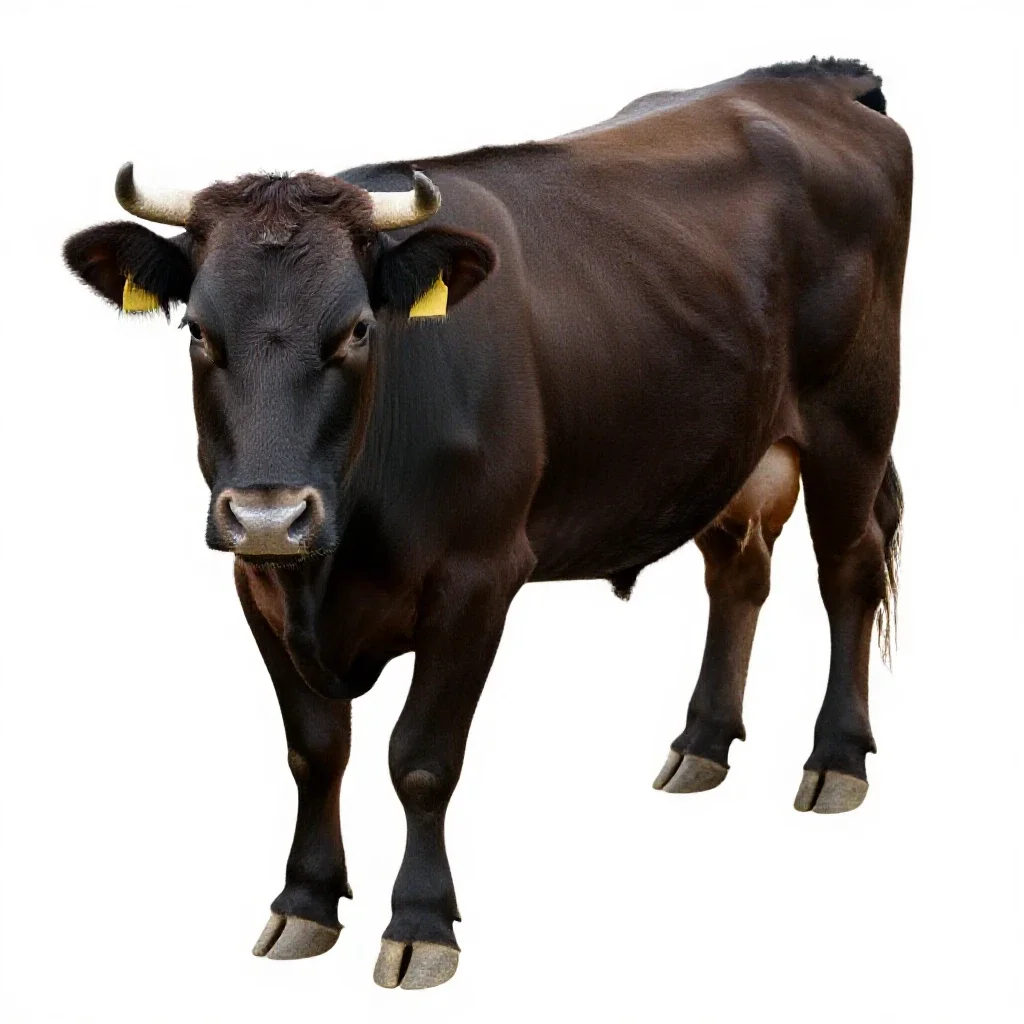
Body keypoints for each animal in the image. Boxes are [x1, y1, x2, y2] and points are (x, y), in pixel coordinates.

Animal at [63, 57, 911, 989]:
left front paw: (421, 923)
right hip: (729, 441)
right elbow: (314, 752)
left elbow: (422, 761)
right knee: (738, 574)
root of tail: (812, 80)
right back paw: (703, 743)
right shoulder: (259, 582)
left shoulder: (478, 580)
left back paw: (835, 758)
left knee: (848, 570)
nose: (270, 514)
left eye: (357, 330)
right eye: (200, 333)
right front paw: (305, 902)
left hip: (853, 418)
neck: (338, 552)